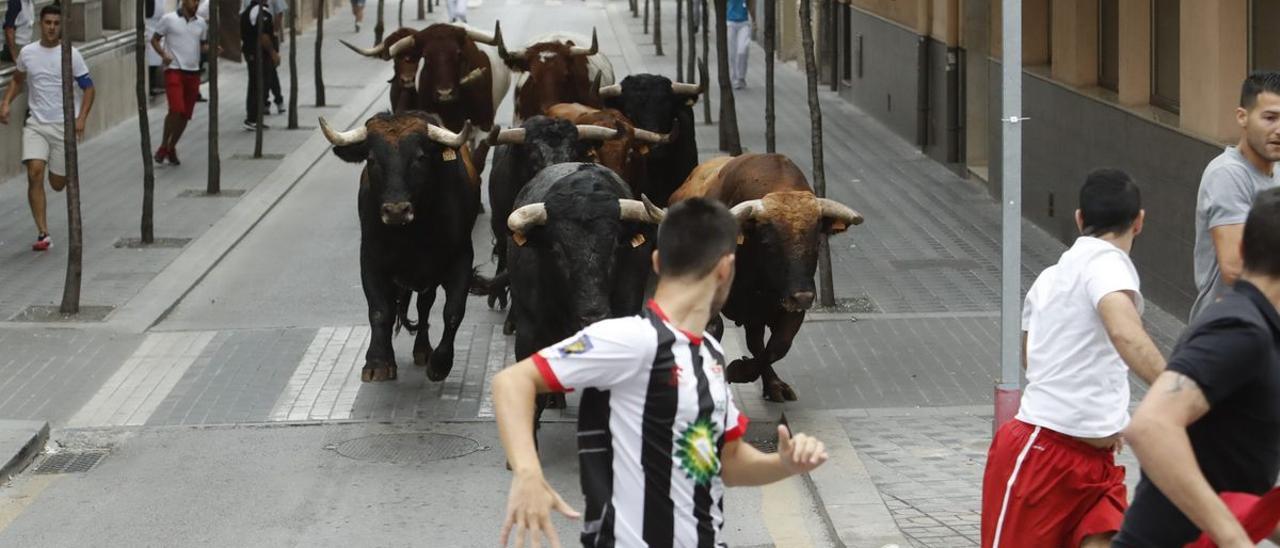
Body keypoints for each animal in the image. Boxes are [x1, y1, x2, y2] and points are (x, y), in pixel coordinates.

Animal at [317, 112, 481, 384]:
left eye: (420, 157)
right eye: (372, 159)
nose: (396, 210)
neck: (410, 234)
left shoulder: (461, 258)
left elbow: (453, 312)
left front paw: (440, 363)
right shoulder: (371, 260)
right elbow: (380, 311)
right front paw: (377, 363)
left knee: (425, 306)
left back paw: (423, 350)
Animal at [665, 154, 865, 402]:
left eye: (817, 242)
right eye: (768, 243)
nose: (803, 297)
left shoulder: (787, 309)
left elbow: (778, 346)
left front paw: (740, 371)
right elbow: (713, 330)